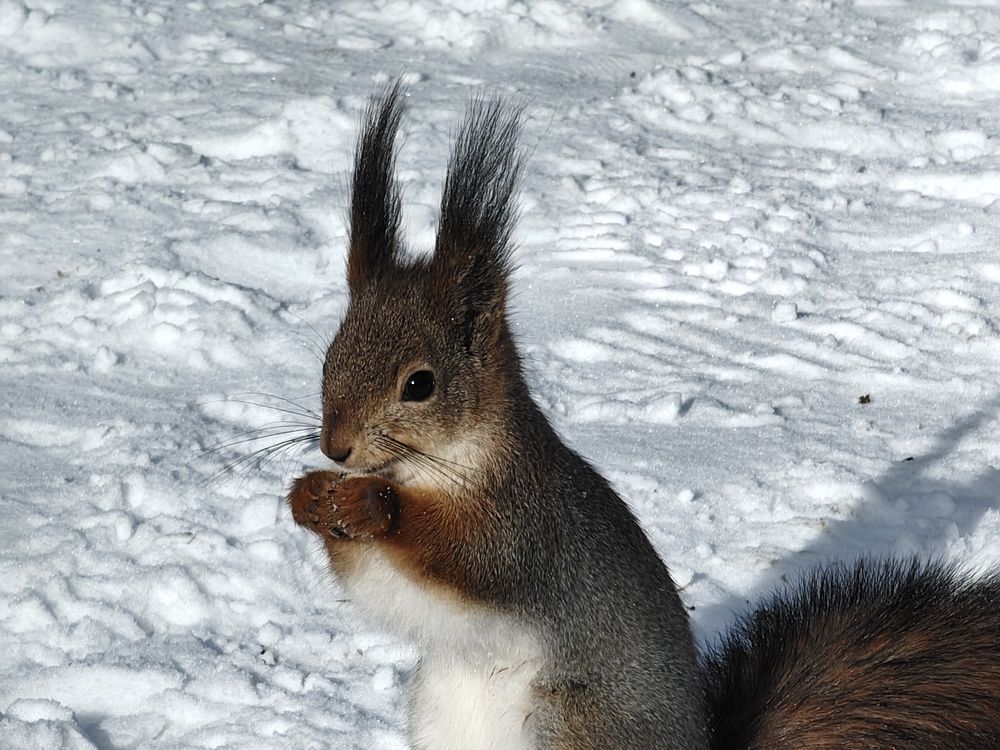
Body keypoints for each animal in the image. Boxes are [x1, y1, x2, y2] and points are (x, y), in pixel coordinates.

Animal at [286, 84, 1000, 750]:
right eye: (330, 353)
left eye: (420, 384)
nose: (335, 447)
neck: (433, 469)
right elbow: (380, 589)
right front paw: (310, 498)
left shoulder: (525, 524)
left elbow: (464, 557)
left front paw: (372, 506)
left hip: (575, 722)